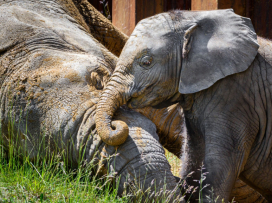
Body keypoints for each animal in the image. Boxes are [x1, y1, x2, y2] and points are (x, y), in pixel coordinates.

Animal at [95, 9, 272, 203]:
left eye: (146, 62)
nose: (115, 123)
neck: (193, 18)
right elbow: (193, 155)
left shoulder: (236, 96)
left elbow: (221, 164)